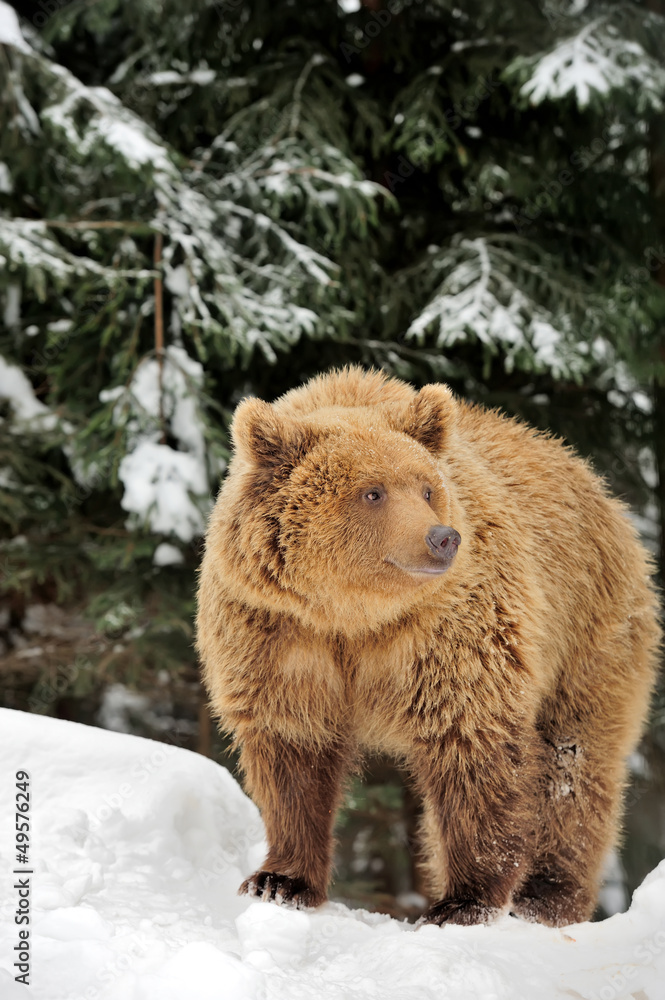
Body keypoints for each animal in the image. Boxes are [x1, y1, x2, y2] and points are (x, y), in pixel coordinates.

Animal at [196, 365, 661, 927]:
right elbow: (293, 754)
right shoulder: (280, 635)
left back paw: (547, 898)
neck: (353, 615)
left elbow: (471, 743)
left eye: (426, 488)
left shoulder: (450, 633)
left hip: (589, 633)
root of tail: (604, 492)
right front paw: (279, 880)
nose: (442, 539)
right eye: (373, 492)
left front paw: (464, 900)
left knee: (572, 765)